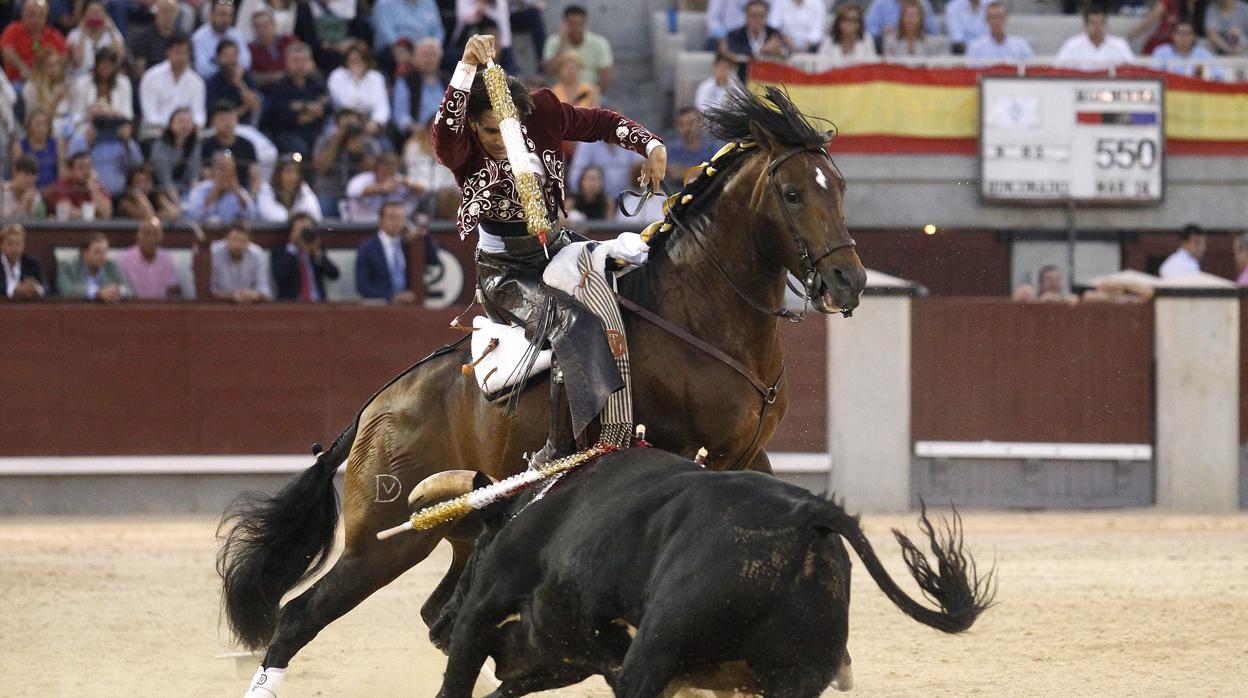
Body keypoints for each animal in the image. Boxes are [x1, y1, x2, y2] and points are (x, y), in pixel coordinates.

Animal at [219, 87, 863, 689]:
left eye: (839, 188)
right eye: (792, 194)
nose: (848, 281)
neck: (699, 311)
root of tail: (377, 406)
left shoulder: (751, 451)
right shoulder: (692, 455)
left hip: (459, 525)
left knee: (440, 614)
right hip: (381, 541)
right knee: (300, 617)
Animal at [419, 449, 993, 694]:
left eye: (477, 550)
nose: (438, 624)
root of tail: (807, 514)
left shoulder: (484, 614)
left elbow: (456, 684)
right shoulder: (560, 658)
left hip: (655, 653)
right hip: (796, 677)